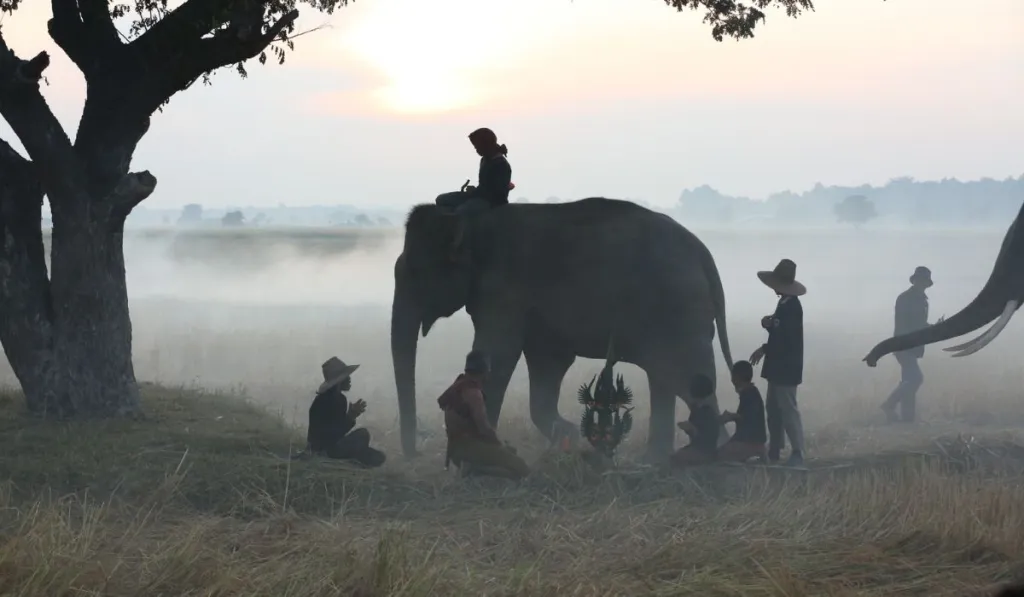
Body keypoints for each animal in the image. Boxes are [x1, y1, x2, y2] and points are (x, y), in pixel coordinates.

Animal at [391, 198, 737, 460]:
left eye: (415, 273)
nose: (415, 453)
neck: (470, 221)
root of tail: (703, 253)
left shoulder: (504, 292)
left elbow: (498, 353)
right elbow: (547, 364)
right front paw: (569, 436)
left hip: (679, 311)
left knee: (688, 379)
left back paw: (712, 460)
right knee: (665, 378)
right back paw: (654, 461)